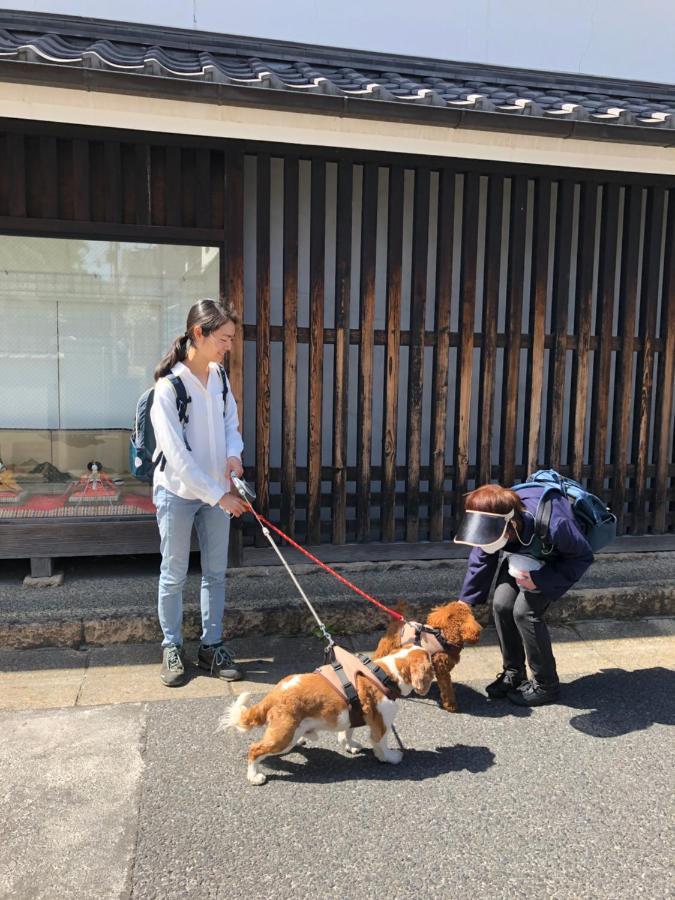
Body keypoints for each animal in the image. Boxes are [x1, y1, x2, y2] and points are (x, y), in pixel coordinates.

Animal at [222, 648, 434, 780]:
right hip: (283, 737)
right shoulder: (381, 724)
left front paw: (350, 745)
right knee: (254, 749)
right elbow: (381, 744)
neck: (385, 674)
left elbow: (347, 733)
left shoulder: (352, 714)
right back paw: (254, 776)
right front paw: (390, 757)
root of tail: (274, 694)